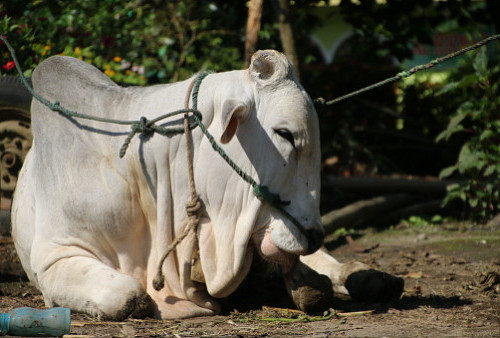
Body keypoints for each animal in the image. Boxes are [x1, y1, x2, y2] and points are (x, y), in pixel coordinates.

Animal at [10, 49, 402, 320]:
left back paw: (371, 278)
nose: (314, 233)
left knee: (326, 266)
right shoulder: (53, 255)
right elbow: (128, 296)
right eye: (285, 133)